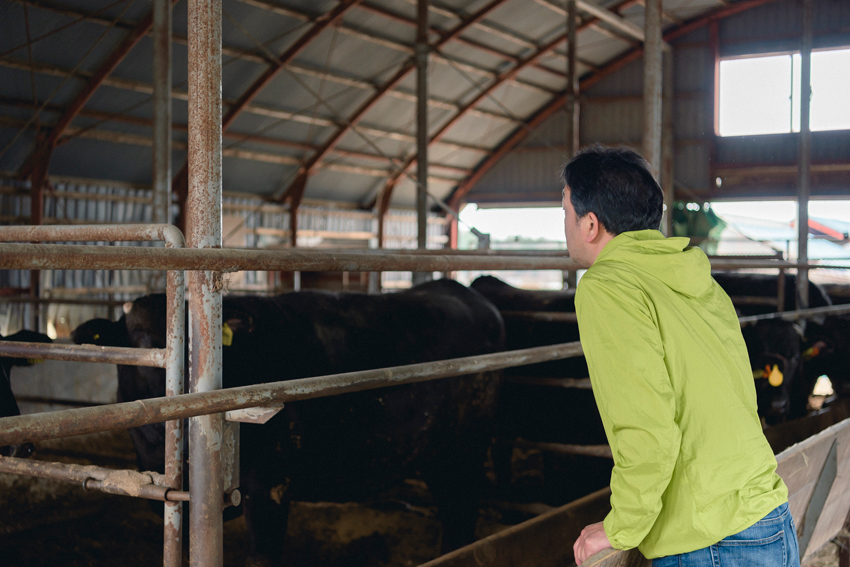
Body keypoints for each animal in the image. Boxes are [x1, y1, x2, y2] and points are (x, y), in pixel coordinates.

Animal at [73, 280, 504, 567]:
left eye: (192, 343)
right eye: (132, 342)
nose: (169, 389)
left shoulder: (269, 488)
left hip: (464, 450)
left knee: (461, 511)